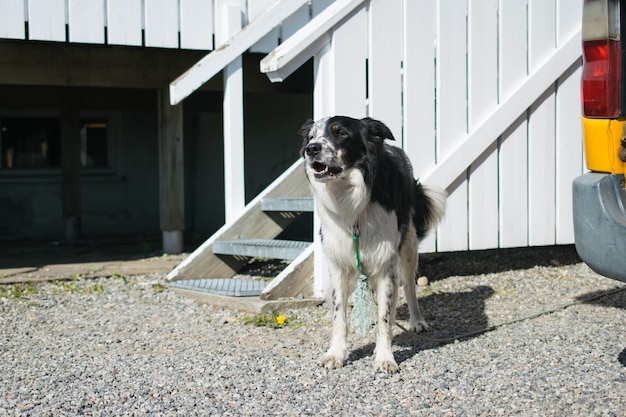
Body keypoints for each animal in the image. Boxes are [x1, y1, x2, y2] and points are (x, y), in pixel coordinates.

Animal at [298, 115, 444, 372]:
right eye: (311, 136)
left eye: (340, 133)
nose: (311, 149)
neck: (351, 199)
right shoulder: (339, 264)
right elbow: (339, 315)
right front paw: (335, 354)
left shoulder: (385, 263)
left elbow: (384, 316)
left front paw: (385, 357)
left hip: (408, 246)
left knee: (408, 286)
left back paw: (416, 321)